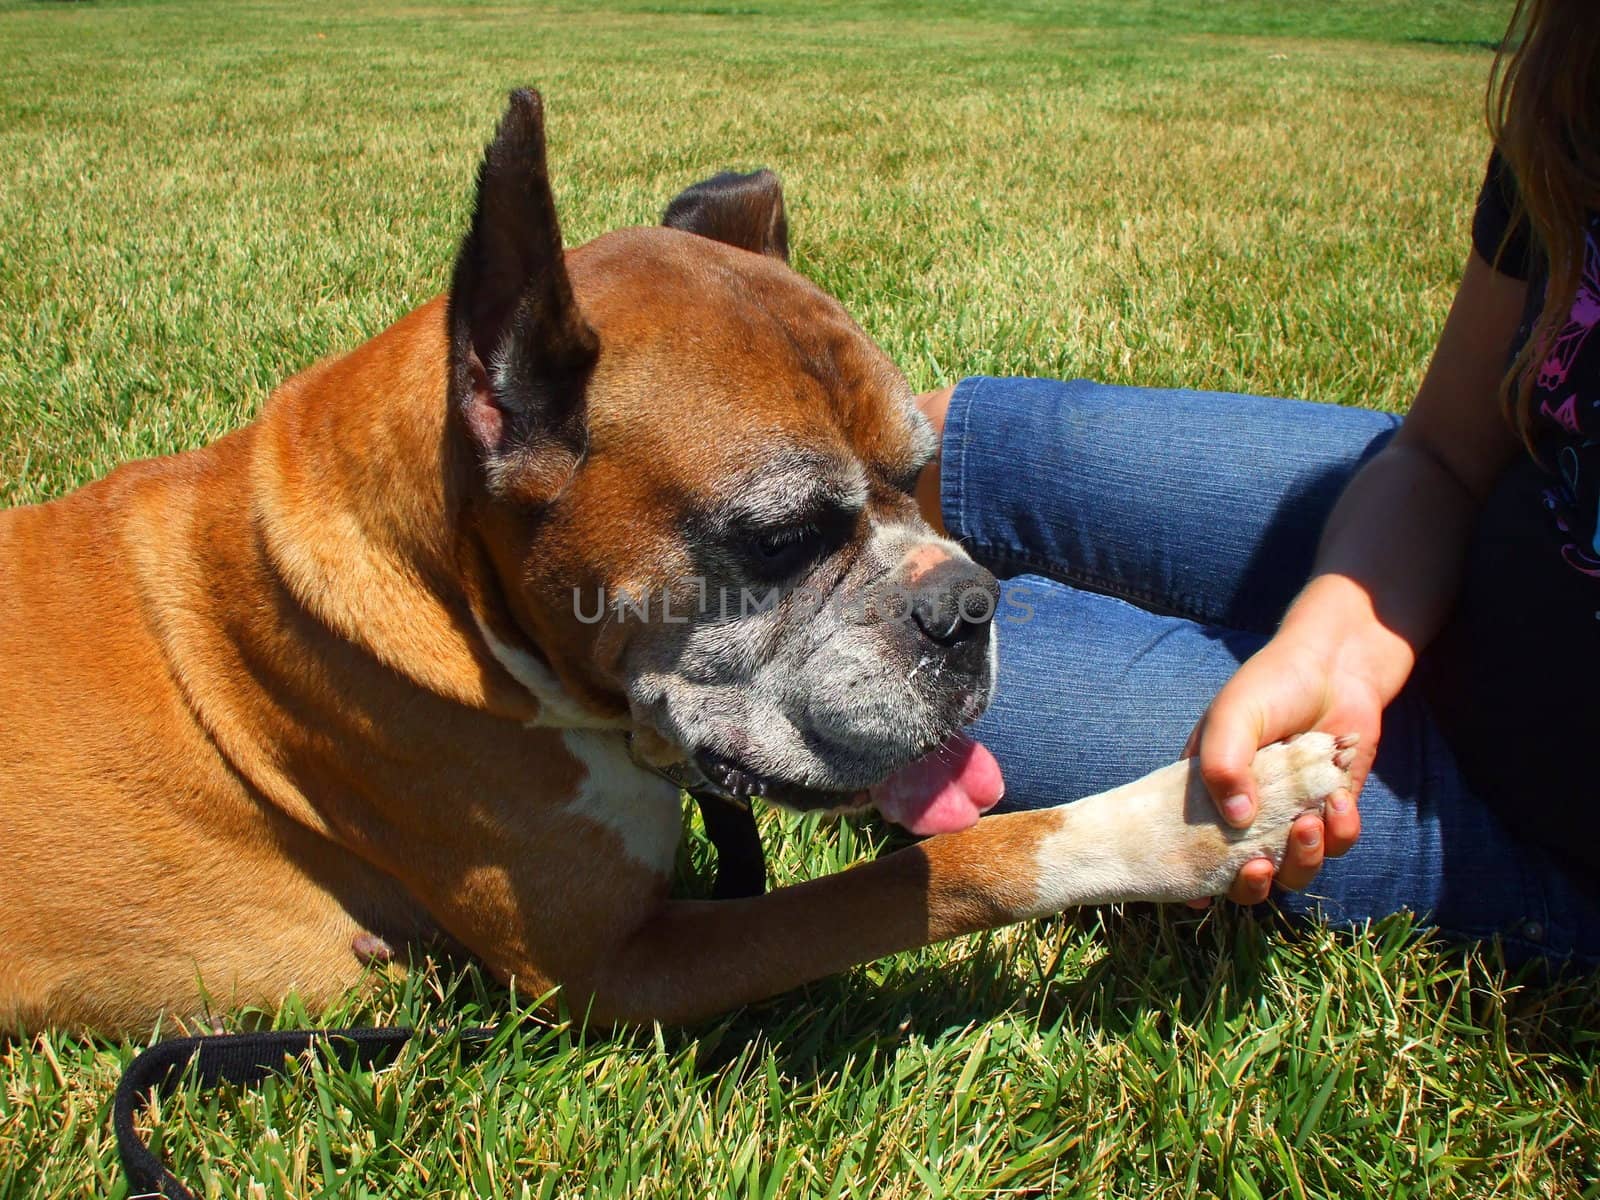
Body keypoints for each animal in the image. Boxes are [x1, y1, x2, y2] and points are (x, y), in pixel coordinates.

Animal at [0, 91, 1350, 1036]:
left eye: (919, 474)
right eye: (780, 539)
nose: (968, 606)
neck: (452, 591)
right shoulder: (612, 973)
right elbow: (942, 867)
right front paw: (1191, 823)